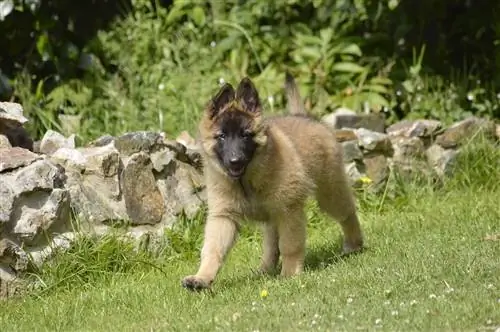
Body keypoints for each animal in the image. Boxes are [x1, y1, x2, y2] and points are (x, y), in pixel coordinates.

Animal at [182, 73, 362, 290]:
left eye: (245, 135)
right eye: (222, 136)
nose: (235, 161)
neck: (246, 180)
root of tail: (304, 116)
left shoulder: (289, 211)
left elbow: (290, 245)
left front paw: (290, 275)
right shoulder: (224, 216)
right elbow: (212, 249)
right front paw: (201, 278)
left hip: (329, 192)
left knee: (347, 213)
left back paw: (354, 245)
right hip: (272, 216)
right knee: (270, 244)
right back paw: (265, 269)